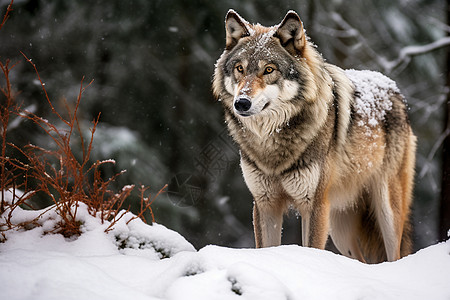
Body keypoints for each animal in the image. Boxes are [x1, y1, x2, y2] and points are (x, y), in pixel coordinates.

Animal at [213, 9, 416, 262]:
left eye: (269, 69)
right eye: (240, 68)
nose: (241, 103)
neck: (272, 141)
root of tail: (393, 88)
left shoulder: (315, 205)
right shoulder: (265, 204)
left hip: (386, 211)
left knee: (395, 255)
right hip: (340, 228)